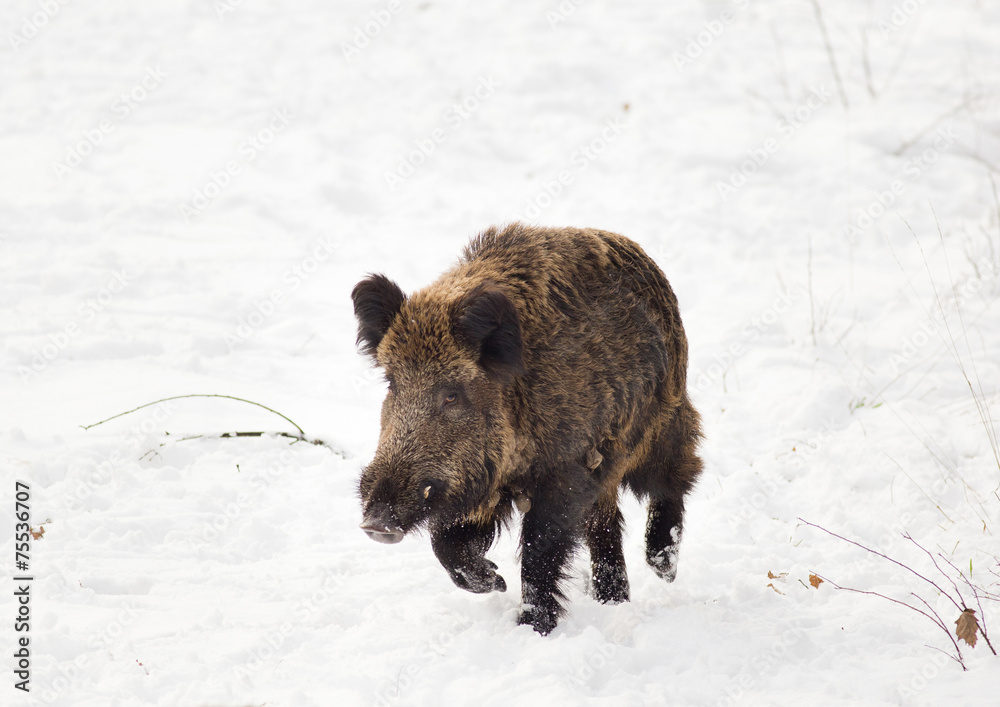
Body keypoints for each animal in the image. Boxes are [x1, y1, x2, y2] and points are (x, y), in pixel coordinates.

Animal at [352, 223, 703, 634]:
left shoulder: (567, 474)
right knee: (605, 526)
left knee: (678, 476)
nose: (376, 523)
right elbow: (446, 545)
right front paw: (495, 581)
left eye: (451, 394)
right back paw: (614, 601)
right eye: (392, 383)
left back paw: (663, 568)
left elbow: (539, 553)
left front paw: (533, 626)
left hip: (662, 425)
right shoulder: (483, 486)